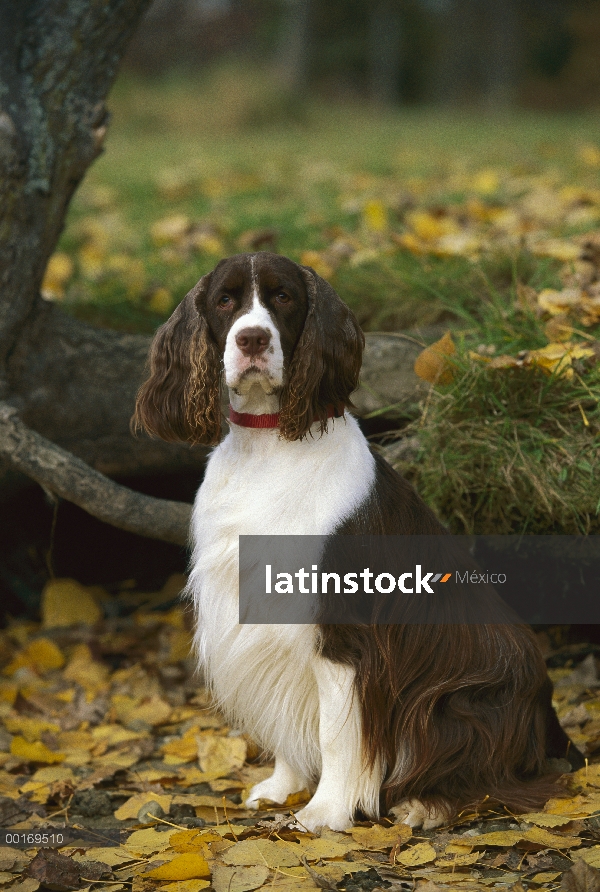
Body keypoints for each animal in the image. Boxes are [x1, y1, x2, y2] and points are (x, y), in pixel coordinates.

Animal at [134, 249, 580, 828]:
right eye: (225, 300)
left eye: (283, 297)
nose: (252, 339)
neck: (269, 446)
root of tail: (549, 721)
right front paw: (283, 787)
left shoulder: (343, 635)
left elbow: (339, 734)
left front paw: (325, 814)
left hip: (460, 702)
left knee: (507, 779)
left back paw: (425, 804)